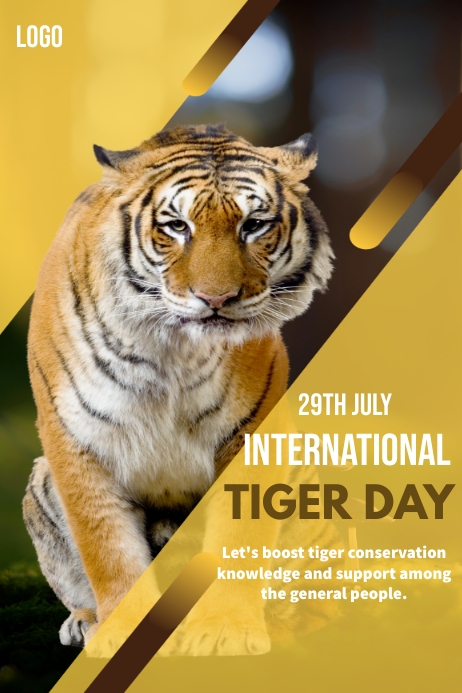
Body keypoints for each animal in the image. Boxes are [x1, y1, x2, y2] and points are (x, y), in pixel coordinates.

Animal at [23, 123, 334, 655]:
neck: (170, 347)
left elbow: (240, 539)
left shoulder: (251, 434)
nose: (216, 298)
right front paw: (121, 633)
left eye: (253, 225)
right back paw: (84, 622)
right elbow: (105, 546)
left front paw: (227, 629)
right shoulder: (76, 439)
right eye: (176, 226)